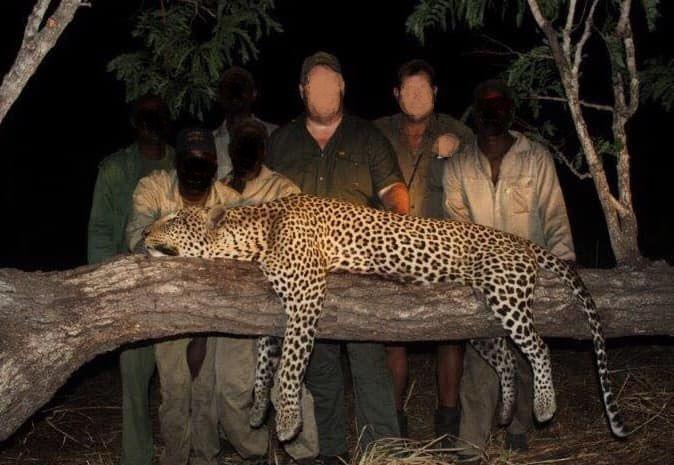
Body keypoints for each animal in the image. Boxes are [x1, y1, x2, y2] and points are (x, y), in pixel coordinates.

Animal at [142, 193, 629, 442]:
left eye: (174, 217)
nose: (143, 232)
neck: (255, 234)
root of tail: (521, 241)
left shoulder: (306, 293)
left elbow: (290, 365)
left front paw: (287, 421)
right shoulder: (276, 309)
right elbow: (266, 361)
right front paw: (260, 409)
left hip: (504, 293)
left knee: (539, 346)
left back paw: (544, 405)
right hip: (477, 320)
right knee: (507, 358)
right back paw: (508, 410)